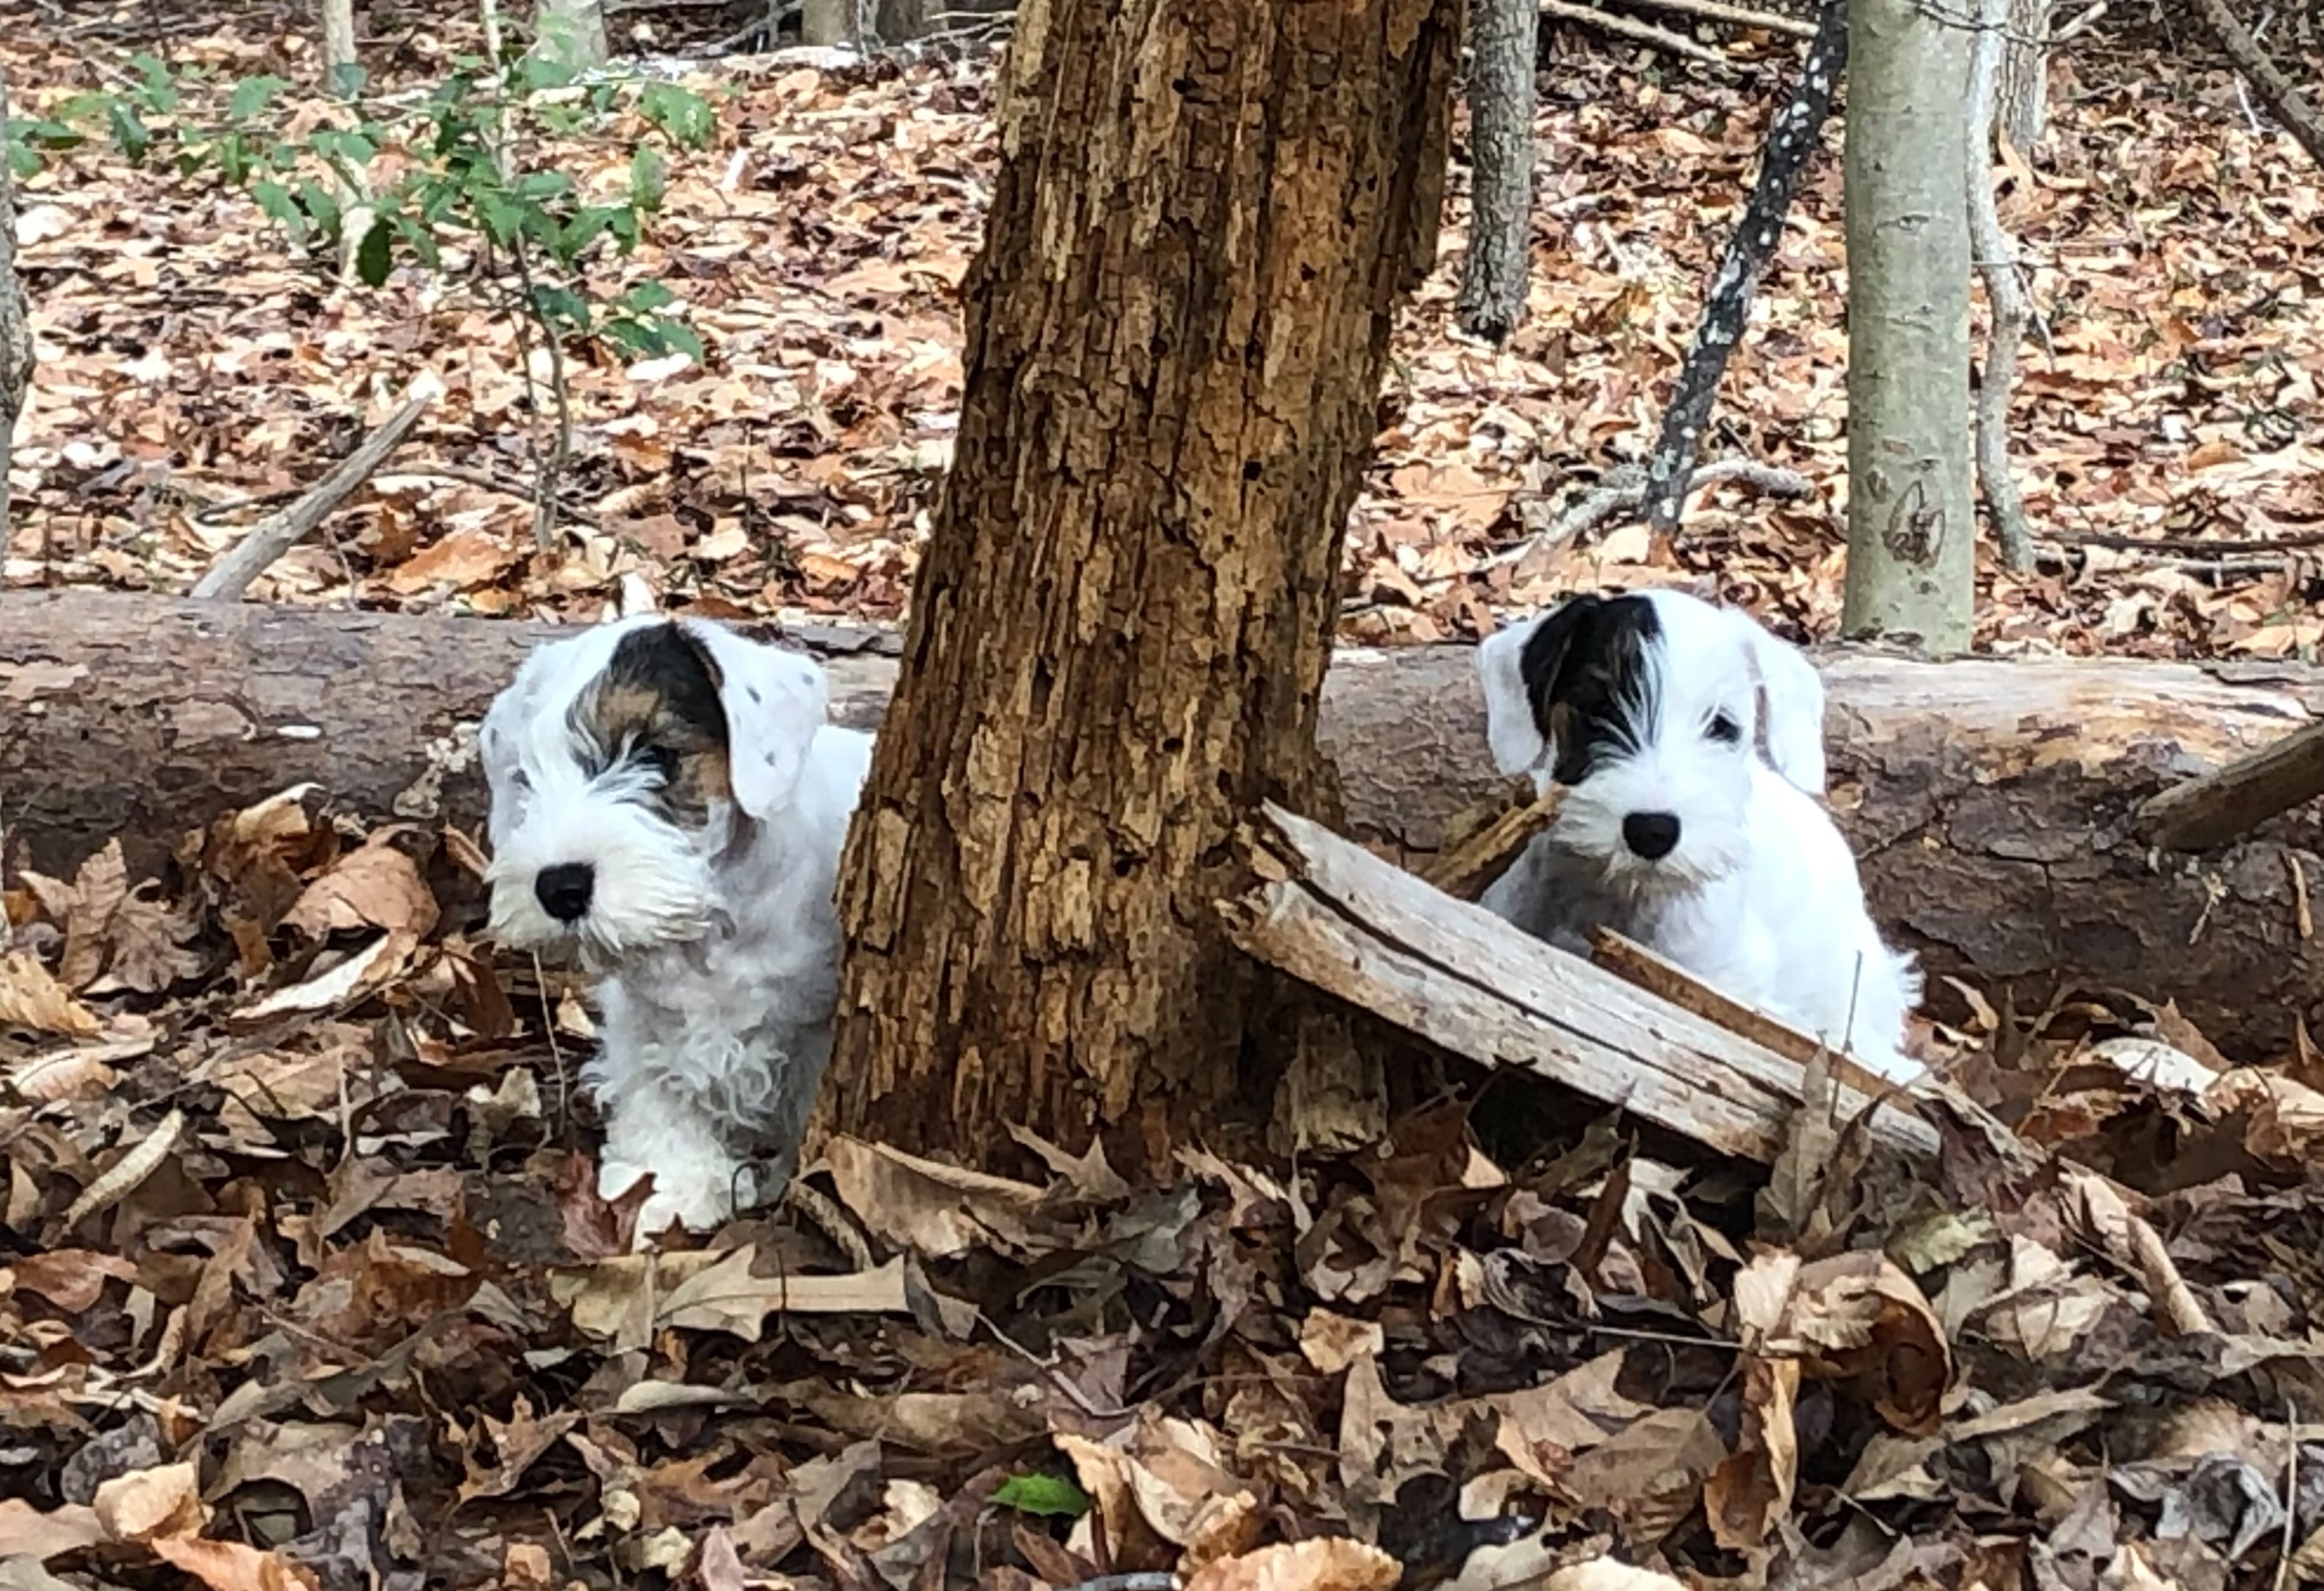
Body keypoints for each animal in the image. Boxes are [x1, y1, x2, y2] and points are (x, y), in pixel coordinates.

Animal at [479, 613, 874, 1235]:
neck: (714, 922)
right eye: (526, 775)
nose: (559, 887)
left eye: (657, 754)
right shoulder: (647, 1019)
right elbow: (657, 1101)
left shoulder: (815, 1027)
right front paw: (667, 1189)